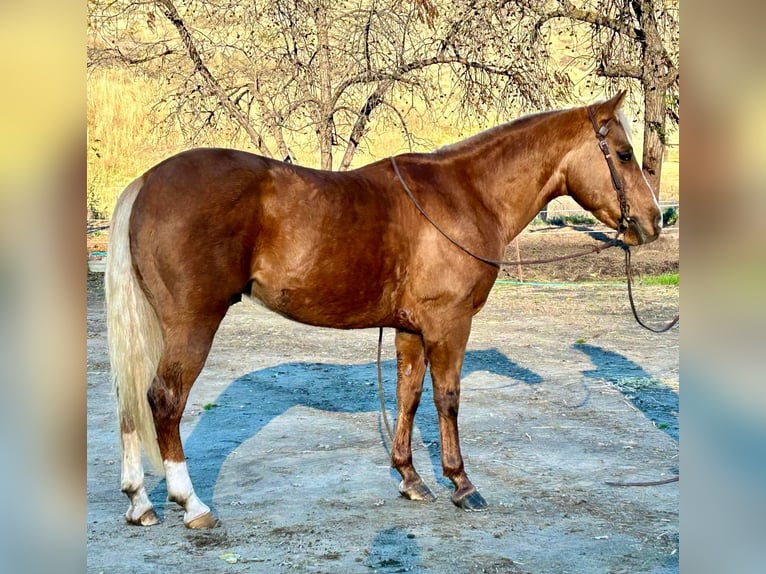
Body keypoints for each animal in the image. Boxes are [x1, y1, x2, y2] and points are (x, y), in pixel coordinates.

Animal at [105, 91, 664, 532]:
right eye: (623, 153)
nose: (655, 221)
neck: (464, 195)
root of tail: (145, 183)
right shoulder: (449, 324)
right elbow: (447, 400)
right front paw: (462, 483)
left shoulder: (410, 329)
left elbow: (408, 397)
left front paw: (411, 478)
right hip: (191, 326)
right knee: (163, 400)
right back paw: (191, 504)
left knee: (131, 403)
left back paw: (139, 503)